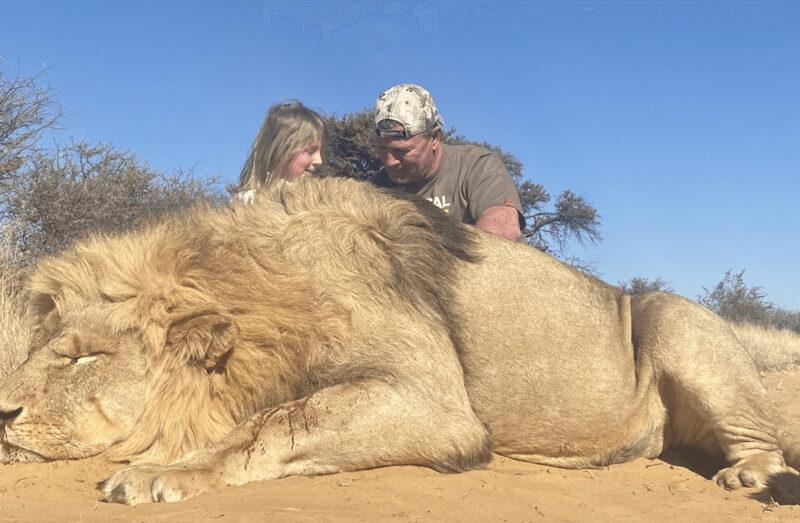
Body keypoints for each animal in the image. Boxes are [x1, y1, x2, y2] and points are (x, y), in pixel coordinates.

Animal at [0, 176, 797, 505]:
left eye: (84, 354)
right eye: (41, 346)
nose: (3, 412)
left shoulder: (437, 406)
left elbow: (276, 421)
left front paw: (157, 472)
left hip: (675, 319)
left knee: (762, 440)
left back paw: (749, 478)